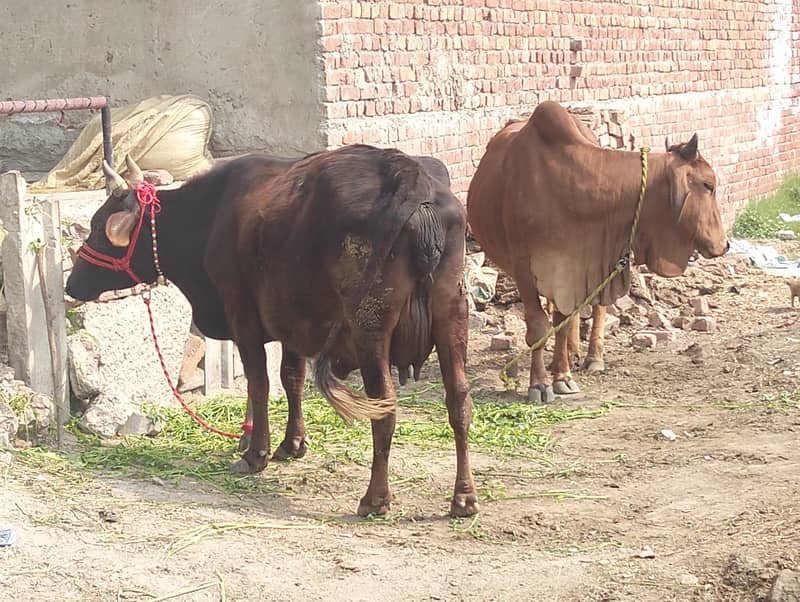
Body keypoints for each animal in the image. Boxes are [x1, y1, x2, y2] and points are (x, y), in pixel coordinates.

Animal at [65, 147, 479, 518]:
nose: (72, 283)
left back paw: (375, 498)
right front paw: (291, 443)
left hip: (370, 328)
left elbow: (259, 383)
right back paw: (464, 498)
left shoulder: (243, 318)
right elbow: (290, 378)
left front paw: (255, 451)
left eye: (98, 227)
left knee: (384, 408)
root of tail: (411, 179)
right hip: (452, 316)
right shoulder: (293, 321)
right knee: (459, 401)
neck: (210, 216)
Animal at [467, 100, 729, 403]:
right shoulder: (527, 266)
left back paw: (591, 357)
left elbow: (564, 321)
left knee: (596, 309)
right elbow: (539, 325)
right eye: (708, 185)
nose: (725, 243)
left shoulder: (578, 264)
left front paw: (562, 377)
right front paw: (540, 384)